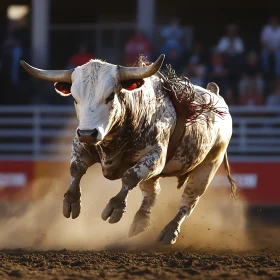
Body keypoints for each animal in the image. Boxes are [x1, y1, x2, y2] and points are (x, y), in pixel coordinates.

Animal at [20, 55, 237, 245]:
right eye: (74, 98)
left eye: (110, 96)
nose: (88, 133)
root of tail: (216, 97)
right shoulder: (81, 144)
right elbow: (76, 168)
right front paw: (71, 201)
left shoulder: (155, 157)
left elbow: (130, 176)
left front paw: (115, 206)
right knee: (152, 192)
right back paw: (140, 220)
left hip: (208, 166)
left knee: (188, 201)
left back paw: (170, 231)